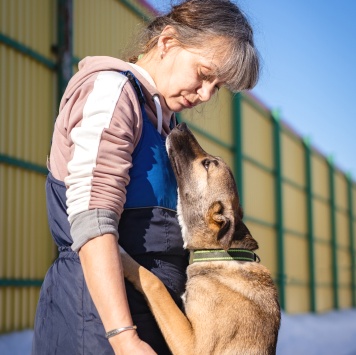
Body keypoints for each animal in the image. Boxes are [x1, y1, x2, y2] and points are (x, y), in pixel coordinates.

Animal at [120, 123, 280, 355]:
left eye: (207, 163)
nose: (181, 125)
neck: (218, 253)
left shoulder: (193, 346)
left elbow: (154, 283)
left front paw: (122, 257)